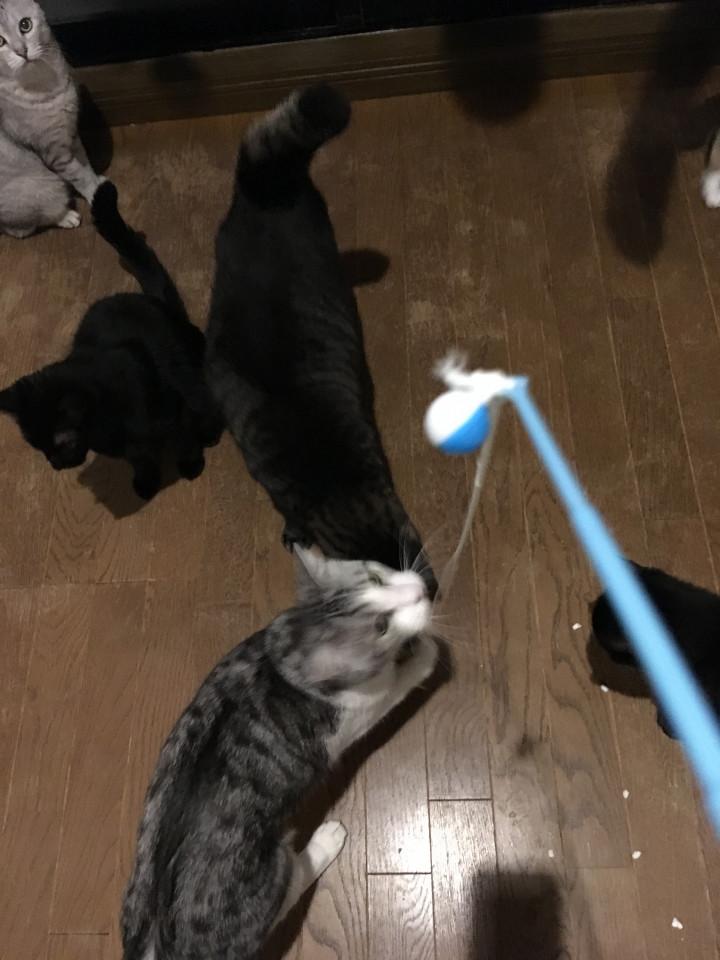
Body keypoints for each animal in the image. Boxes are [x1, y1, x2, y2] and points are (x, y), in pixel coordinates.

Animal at [0, 0, 101, 237]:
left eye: (25, 25)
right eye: (0, 41)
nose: (22, 52)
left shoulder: (71, 136)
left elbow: (86, 166)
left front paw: (99, 185)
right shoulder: (55, 152)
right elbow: (80, 176)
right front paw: (96, 194)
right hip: (43, 188)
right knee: (22, 228)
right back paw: (66, 217)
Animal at [0, 180, 222, 500]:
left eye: (61, 444)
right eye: (39, 448)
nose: (54, 465)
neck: (107, 424)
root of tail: (151, 300)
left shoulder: (179, 411)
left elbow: (185, 440)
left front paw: (191, 465)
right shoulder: (130, 447)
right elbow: (140, 459)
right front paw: (146, 482)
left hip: (192, 369)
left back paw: (210, 431)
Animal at [121, 547, 438, 960]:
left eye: (377, 577)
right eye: (381, 626)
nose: (421, 590)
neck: (290, 646)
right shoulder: (368, 703)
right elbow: (401, 680)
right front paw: (427, 649)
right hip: (270, 879)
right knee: (293, 882)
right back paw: (326, 839)